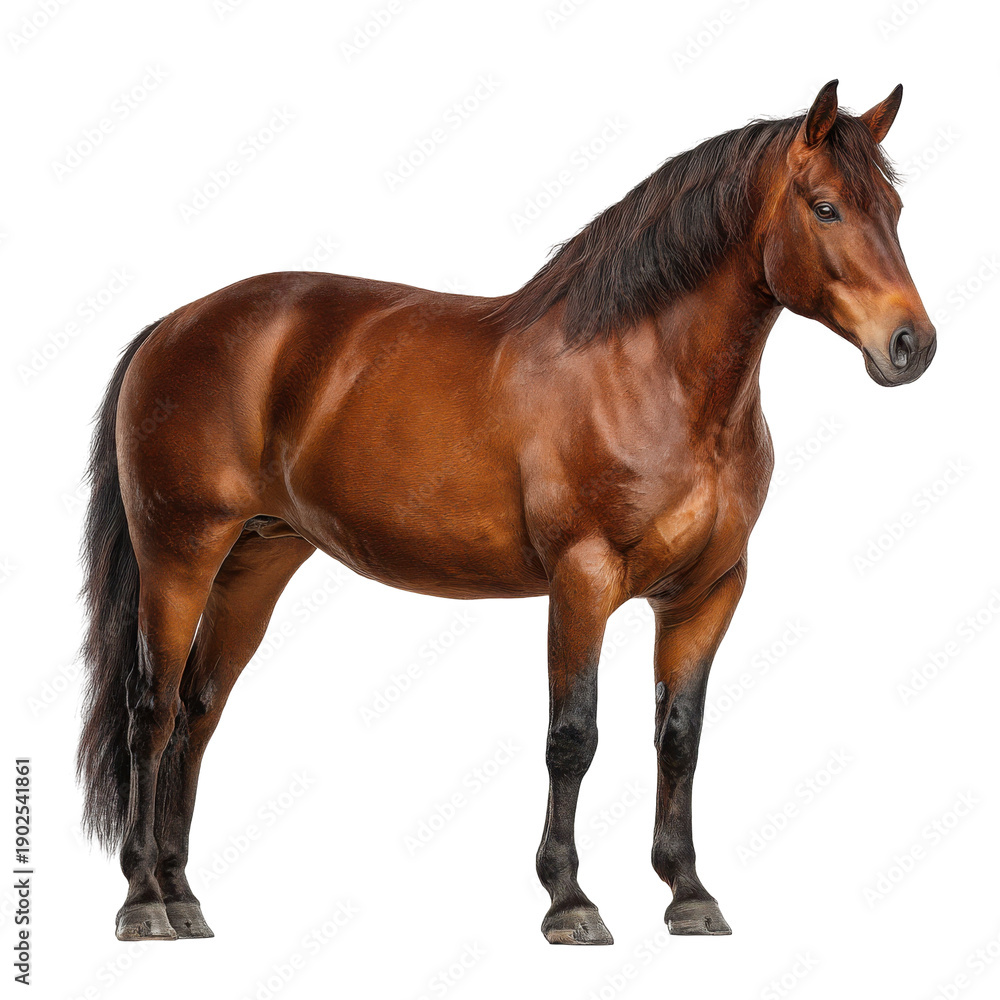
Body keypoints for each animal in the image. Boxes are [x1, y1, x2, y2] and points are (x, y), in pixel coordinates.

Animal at [78, 79, 936, 944]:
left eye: (894, 207)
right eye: (826, 208)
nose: (912, 346)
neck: (647, 375)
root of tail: (174, 325)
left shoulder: (708, 593)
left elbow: (680, 741)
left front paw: (688, 893)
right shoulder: (582, 580)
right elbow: (574, 736)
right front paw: (570, 900)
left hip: (255, 560)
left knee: (199, 711)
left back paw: (183, 895)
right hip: (179, 553)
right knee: (151, 710)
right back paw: (143, 900)